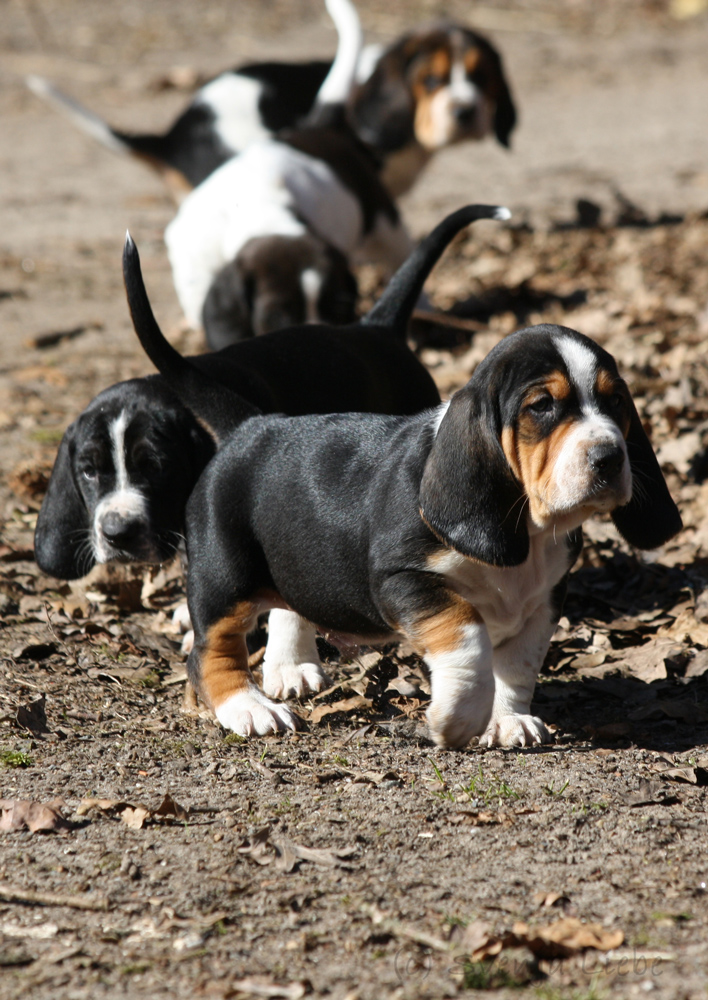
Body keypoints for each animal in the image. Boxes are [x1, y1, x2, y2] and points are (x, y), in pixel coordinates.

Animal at [178, 320, 680, 744]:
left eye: (617, 401)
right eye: (542, 407)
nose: (610, 457)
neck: (528, 526)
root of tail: (251, 426)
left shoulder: (547, 596)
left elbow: (518, 663)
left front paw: (507, 720)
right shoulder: (403, 580)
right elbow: (469, 640)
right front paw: (458, 717)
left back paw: (291, 666)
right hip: (225, 578)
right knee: (209, 652)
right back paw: (249, 709)